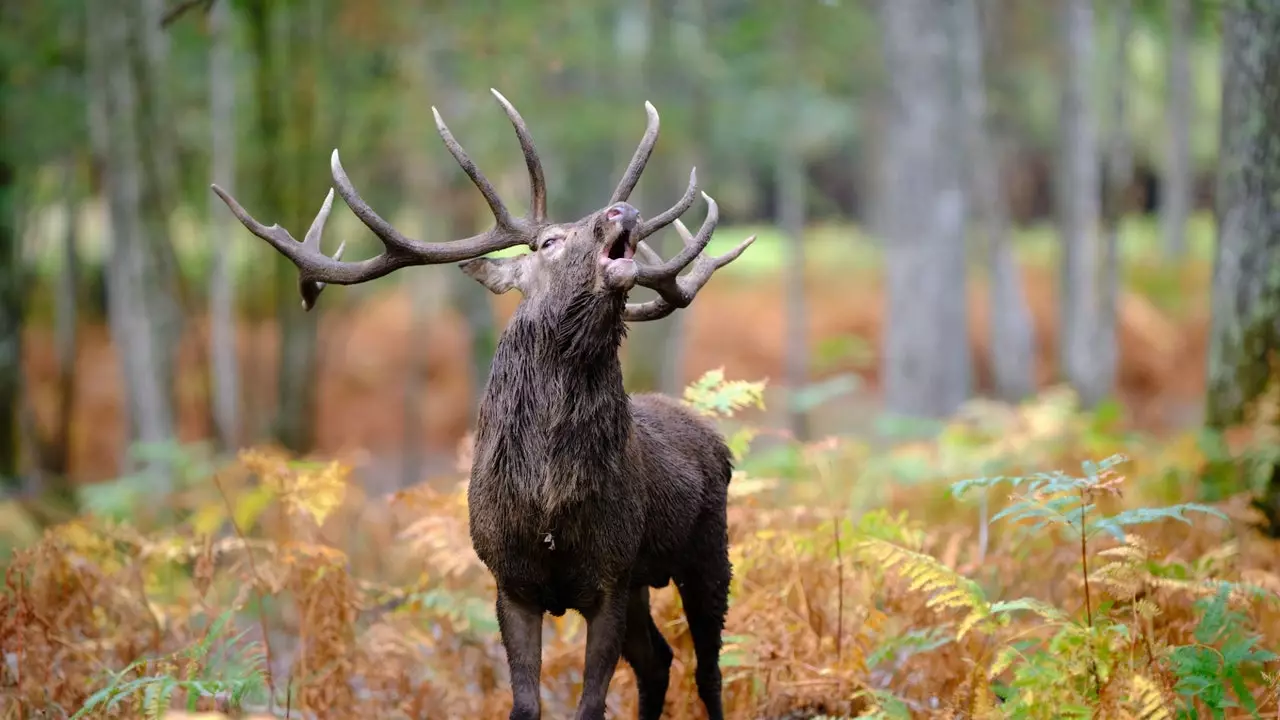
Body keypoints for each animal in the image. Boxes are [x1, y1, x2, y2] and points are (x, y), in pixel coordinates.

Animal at [208, 89, 747, 717]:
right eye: (548, 241)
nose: (622, 211)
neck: (547, 507)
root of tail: (717, 443)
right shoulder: (510, 584)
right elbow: (525, 703)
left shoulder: (609, 577)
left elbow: (590, 704)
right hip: (646, 578)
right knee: (659, 660)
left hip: (708, 551)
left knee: (708, 670)